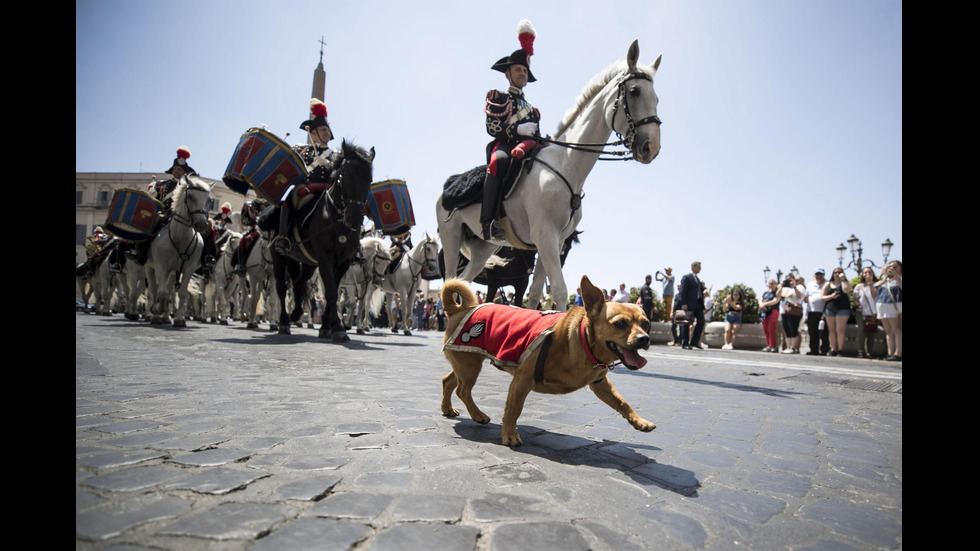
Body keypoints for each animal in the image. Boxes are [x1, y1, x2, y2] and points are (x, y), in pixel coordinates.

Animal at [142, 175, 209, 326]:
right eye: (190, 196)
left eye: (209, 200)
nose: (201, 224)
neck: (180, 238)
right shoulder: (161, 266)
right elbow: (161, 292)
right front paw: (156, 310)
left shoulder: (188, 268)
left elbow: (182, 293)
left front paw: (179, 319)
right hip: (150, 267)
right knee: (154, 290)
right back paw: (155, 314)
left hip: (172, 272)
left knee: (169, 291)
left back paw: (166, 316)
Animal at [272, 141, 376, 340]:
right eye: (346, 176)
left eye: (369, 180)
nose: (355, 219)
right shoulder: (325, 258)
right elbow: (331, 292)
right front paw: (337, 327)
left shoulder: (343, 261)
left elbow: (332, 291)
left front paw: (328, 326)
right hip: (279, 257)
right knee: (281, 288)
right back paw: (284, 322)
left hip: (309, 263)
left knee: (298, 284)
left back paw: (296, 314)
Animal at [440, 274, 656, 446]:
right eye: (620, 324)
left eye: (646, 324)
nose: (644, 338)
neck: (581, 341)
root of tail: (460, 309)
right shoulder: (521, 381)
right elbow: (513, 410)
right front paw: (509, 435)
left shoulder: (600, 384)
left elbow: (622, 402)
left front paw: (639, 421)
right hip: (470, 367)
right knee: (462, 390)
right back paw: (478, 415)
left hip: (466, 364)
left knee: (448, 381)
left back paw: (448, 408)